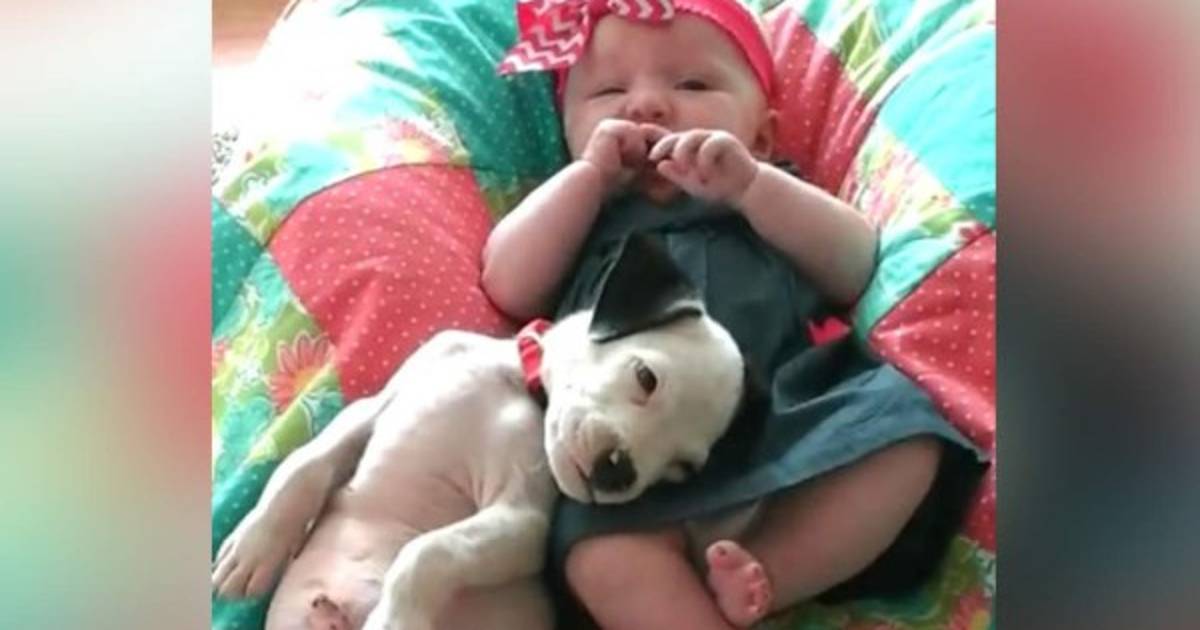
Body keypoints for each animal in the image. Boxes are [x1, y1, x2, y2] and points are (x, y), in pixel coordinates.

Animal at [211, 234, 759, 630]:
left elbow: (428, 552)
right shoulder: (376, 406)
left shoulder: (521, 521)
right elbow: (302, 465)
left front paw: (396, 619)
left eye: (680, 471)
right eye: (646, 377)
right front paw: (255, 546)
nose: (618, 473)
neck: (521, 388)